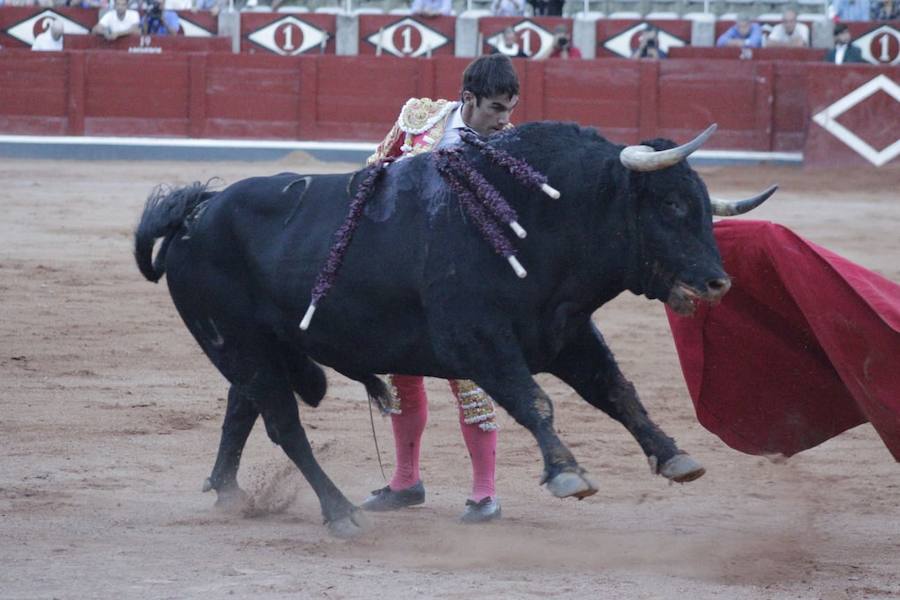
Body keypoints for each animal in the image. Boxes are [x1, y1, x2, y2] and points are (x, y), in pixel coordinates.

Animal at [134, 122, 772, 540]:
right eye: (670, 205)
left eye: (701, 205)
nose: (718, 283)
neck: (543, 218)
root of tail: (196, 213)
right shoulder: (478, 340)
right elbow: (533, 401)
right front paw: (566, 473)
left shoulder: (565, 333)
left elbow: (617, 391)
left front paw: (675, 456)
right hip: (244, 347)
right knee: (284, 425)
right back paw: (340, 512)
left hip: (253, 348)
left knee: (242, 408)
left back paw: (229, 492)